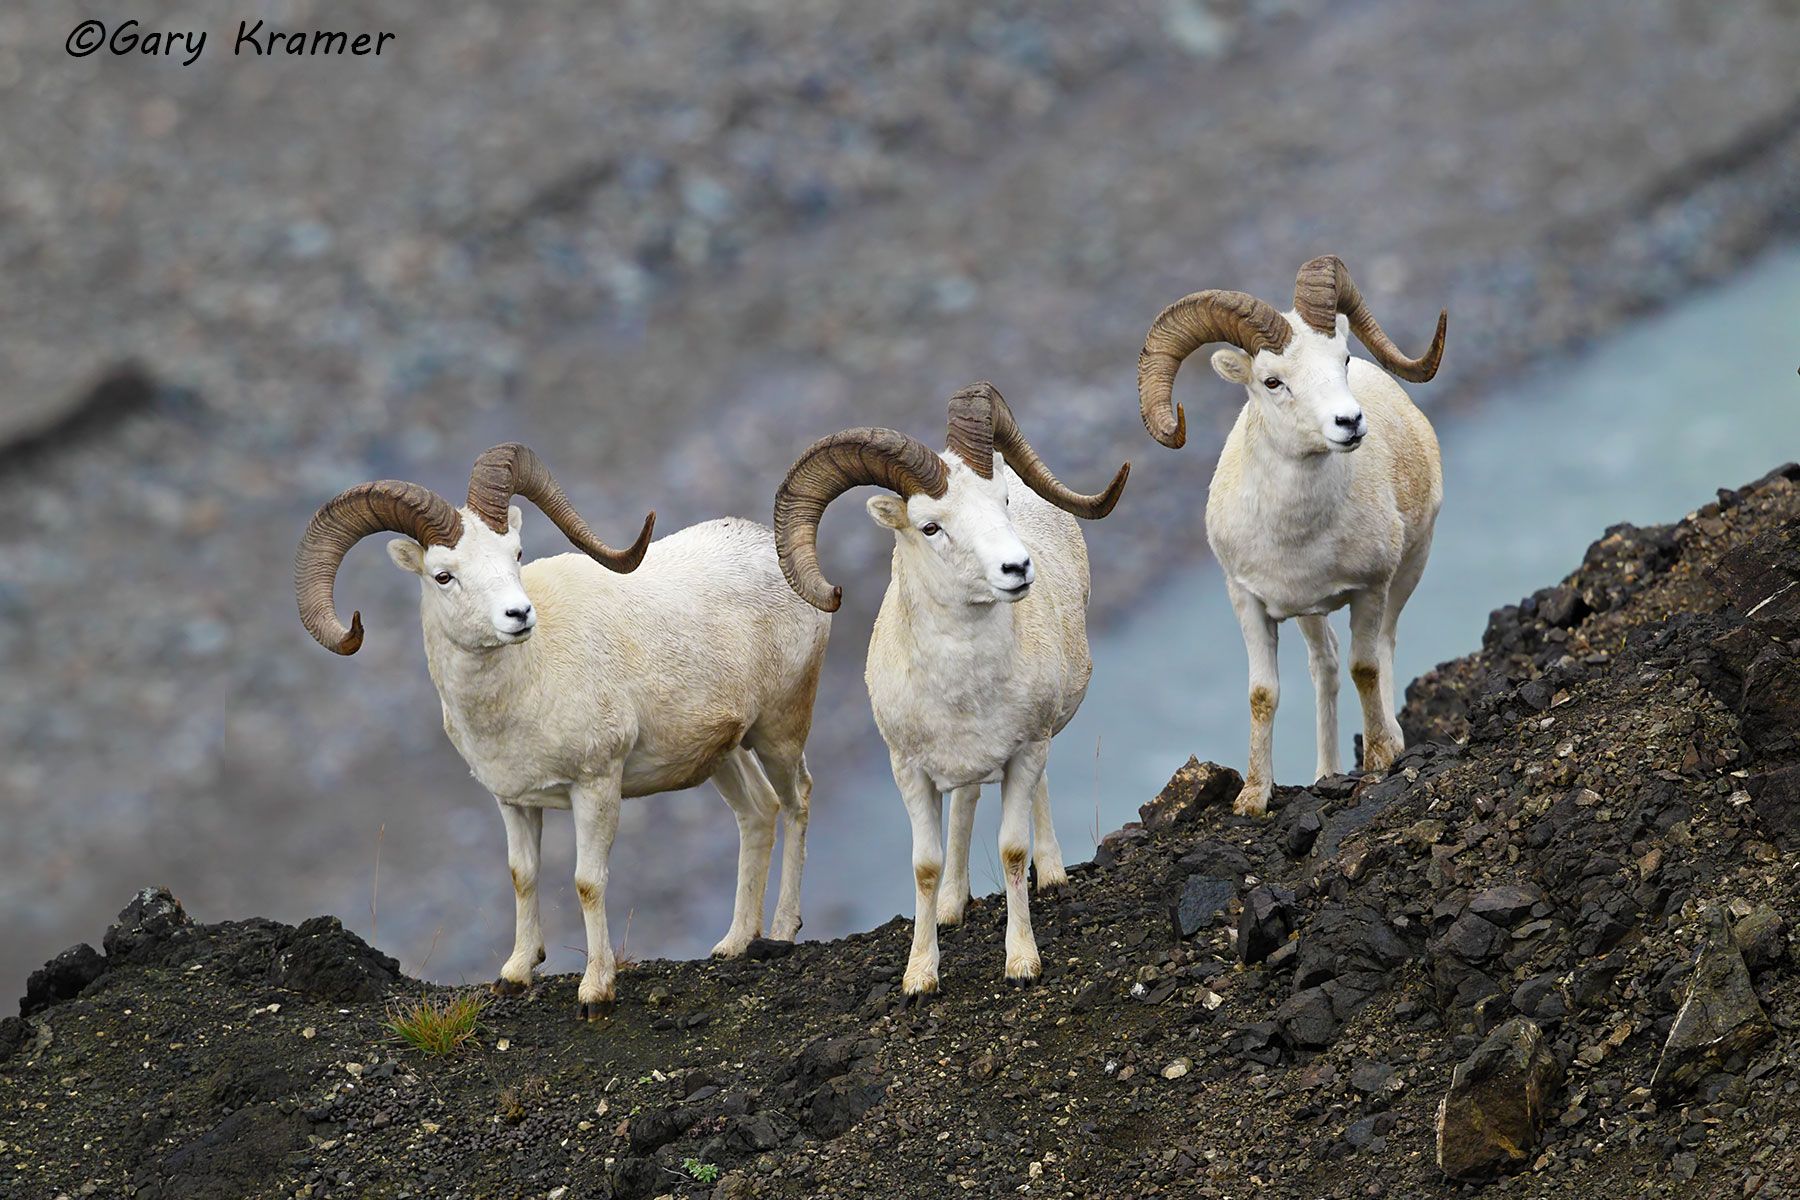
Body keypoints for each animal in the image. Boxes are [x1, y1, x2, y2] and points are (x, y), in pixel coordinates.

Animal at [295, 443, 831, 1018]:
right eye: (443, 575)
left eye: (516, 554)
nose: (518, 615)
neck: (526, 683)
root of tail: (769, 547)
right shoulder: (514, 802)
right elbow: (523, 876)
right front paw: (515, 974)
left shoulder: (595, 787)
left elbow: (587, 883)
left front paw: (595, 992)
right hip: (726, 754)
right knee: (758, 813)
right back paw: (732, 944)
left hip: (780, 729)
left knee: (797, 800)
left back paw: (780, 933)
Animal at [773, 383, 1128, 994]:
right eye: (930, 527)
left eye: (1002, 501)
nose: (1017, 568)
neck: (964, 694)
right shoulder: (910, 771)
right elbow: (926, 865)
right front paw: (920, 976)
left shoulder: (1025, 751)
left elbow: (1012, 850)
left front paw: (1022, 963)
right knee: (964, 806)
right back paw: (952, 907)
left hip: (1038, 746)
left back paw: (1053, 875)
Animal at [1136, 254, 1446, 817]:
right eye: (1273, 381)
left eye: (1342, 359)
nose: (1350, 423)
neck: (1299, 536)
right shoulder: (1250, 602)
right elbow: (1264, 694)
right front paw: (1252, 799)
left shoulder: (1371, 589)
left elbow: (1366, 668)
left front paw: (1378, 761)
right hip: (1308, 615)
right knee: (1324, 667)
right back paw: (1326, 772)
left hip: (1410, 569)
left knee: (1384, 644)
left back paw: (1390, 739)